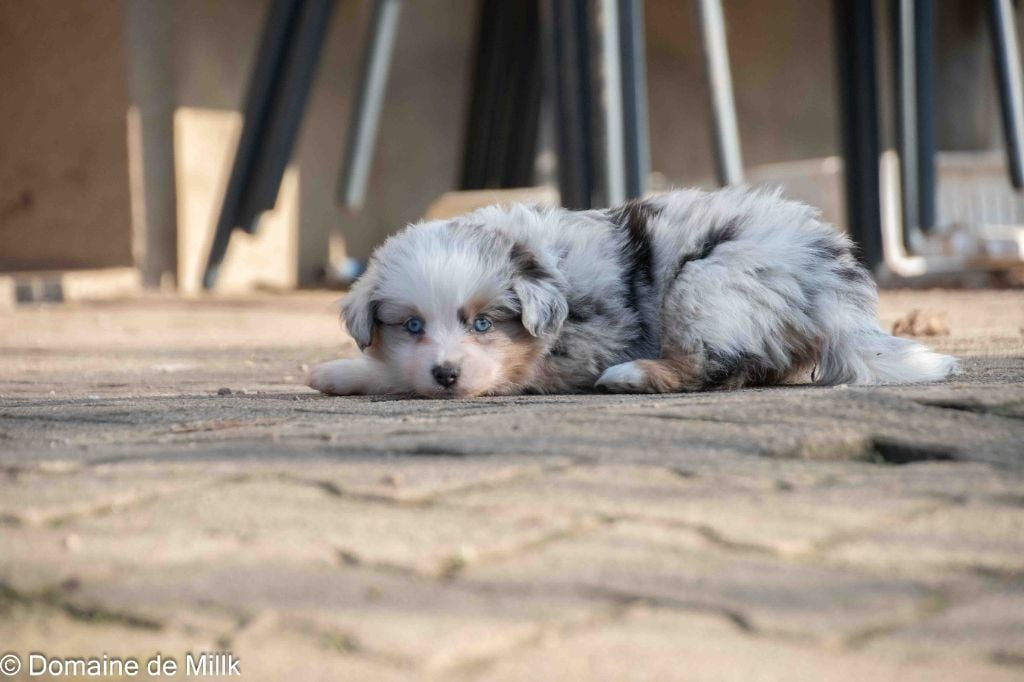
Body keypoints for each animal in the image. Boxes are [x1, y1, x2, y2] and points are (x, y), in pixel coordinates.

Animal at [307, 187, 958, 398]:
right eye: (412, 325)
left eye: (483, 323)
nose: (445, 374)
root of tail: (830, 282)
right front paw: (339, 370)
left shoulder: (573, 346)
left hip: (707, 284)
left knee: (710, 365)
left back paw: (633, 375)